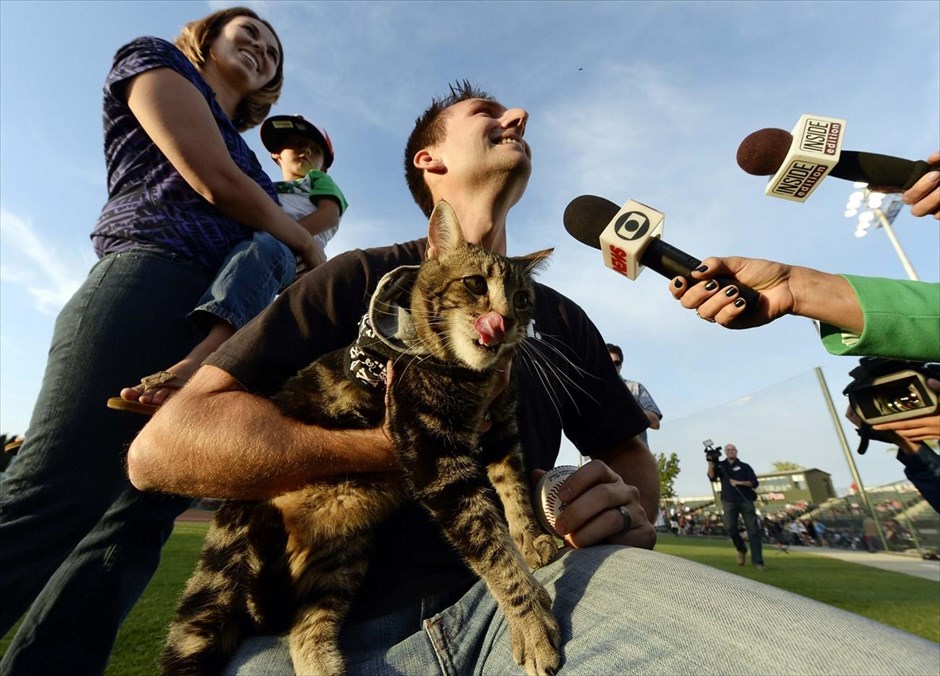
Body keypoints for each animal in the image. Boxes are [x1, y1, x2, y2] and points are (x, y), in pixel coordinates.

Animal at [160, 202, 564, 676]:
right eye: (475, 284)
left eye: (523, 300)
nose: (507, 321)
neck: (472, 381)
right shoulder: (433, 455)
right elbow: (489, 545)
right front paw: (532, 622)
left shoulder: (501, 429)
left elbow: (513, 489)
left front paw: (531, 539)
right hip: (223, 579)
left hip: (343, 557)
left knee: (304, 628)